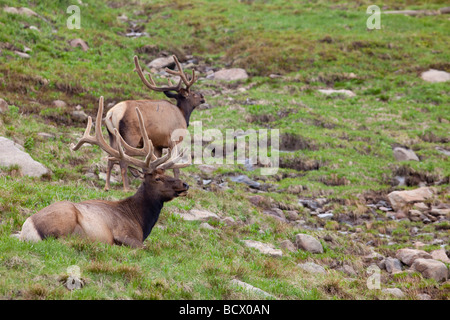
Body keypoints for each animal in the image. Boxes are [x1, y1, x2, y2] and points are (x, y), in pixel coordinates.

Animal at [19, 96, 190, 249]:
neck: (140, 221)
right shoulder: (123, 233)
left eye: (167, 174)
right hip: (64, 219)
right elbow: (145, 247)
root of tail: (27, 230)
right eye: (158, 178)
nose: (185, 184)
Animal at [104, 54, 205, 192]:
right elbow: (175, 167)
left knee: (110, 158)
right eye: (194, 94)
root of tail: (112, 113)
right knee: (123, 160)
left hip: (112, 136)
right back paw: (126, 188)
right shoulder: (175, 140)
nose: (203, 97)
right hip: (130, 136)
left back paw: (107, 187)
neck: (183, 115)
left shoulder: (157, 145)